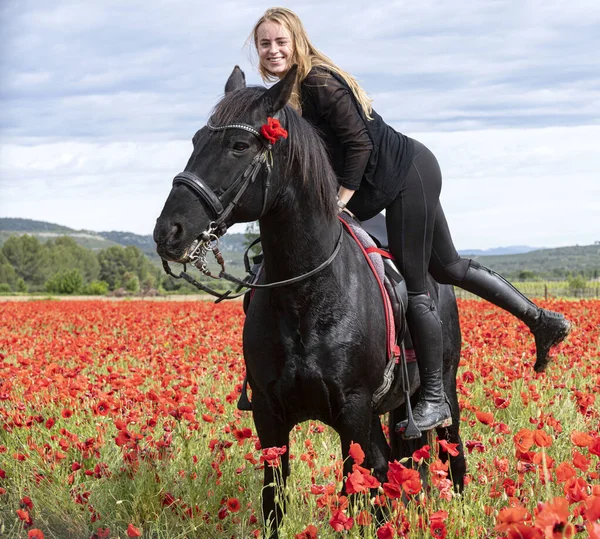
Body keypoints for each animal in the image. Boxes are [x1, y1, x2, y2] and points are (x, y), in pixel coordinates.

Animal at [154, 65, 464, 532]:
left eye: (239, 145)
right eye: (195, 140)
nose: (168, 231)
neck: (307, 297)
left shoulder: (354, 413)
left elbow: (363, 491)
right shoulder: (270, 416)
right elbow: (275, 500)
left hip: (444, 387)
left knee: (451, 454)